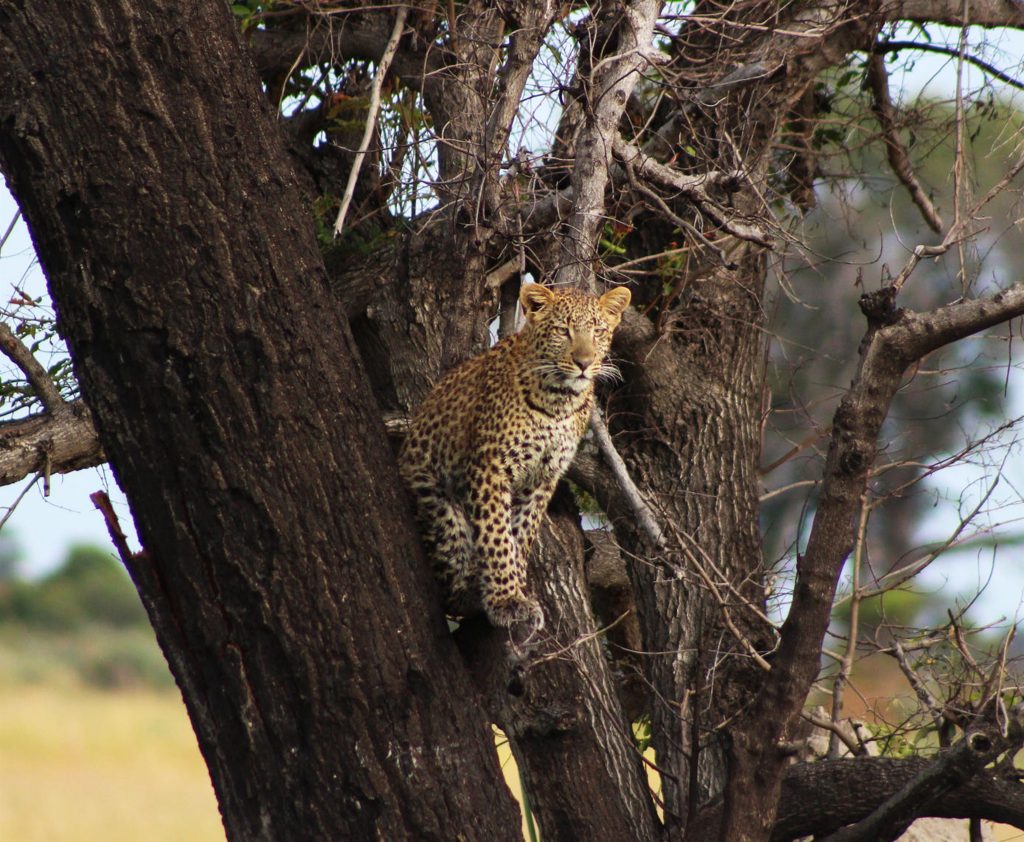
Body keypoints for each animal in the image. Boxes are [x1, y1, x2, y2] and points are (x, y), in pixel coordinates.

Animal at [399, 282, 630, 639]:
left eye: (598, 331)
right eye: (563, 331)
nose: (583, 362)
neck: (559, 402)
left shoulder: (543, 476)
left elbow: (521, 532)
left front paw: (517, 587)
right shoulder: (490, 467)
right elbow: (497, 535)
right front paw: (506, 600)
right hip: (437, 504)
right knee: (449, 586)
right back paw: (470, 592)